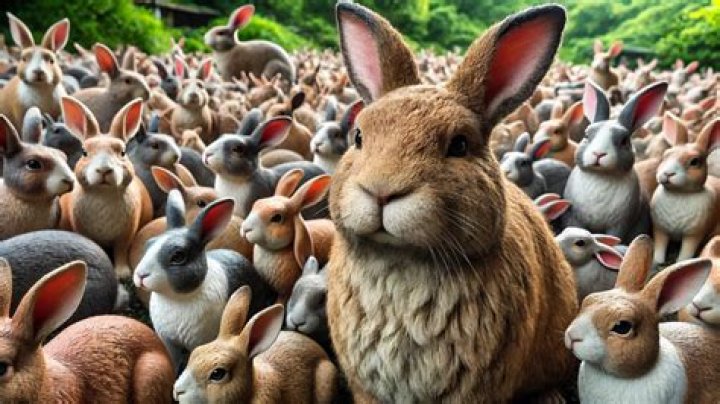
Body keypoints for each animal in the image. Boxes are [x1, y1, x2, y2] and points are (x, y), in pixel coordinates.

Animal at [58, 96, 153, 280]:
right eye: (84, 152)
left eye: (123, 152)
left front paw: (122, 274)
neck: (103, 194)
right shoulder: (82, 229)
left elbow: (121, 251)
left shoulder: (127, 233)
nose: (104, 170)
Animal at [134, 190, 276, 369]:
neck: (177, 298)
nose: (141, 275)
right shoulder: (168, 340)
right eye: (148, 244)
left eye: (178, 256)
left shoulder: (200, 341)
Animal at [562, 81, 667, 243]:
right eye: (586, 135)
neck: (600, 176)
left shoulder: (620, 223)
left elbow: (615, 235)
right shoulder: (574, 217)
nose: (599, 154)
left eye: (624, 141)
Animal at [651, 118, 720, 264]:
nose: (668, 173)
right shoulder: (660, 229)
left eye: (694, 161)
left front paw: (680, 263)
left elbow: (686, 252)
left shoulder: (693, 235)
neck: (680, 193)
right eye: (665, 155)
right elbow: (660, 246)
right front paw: (657, 261)